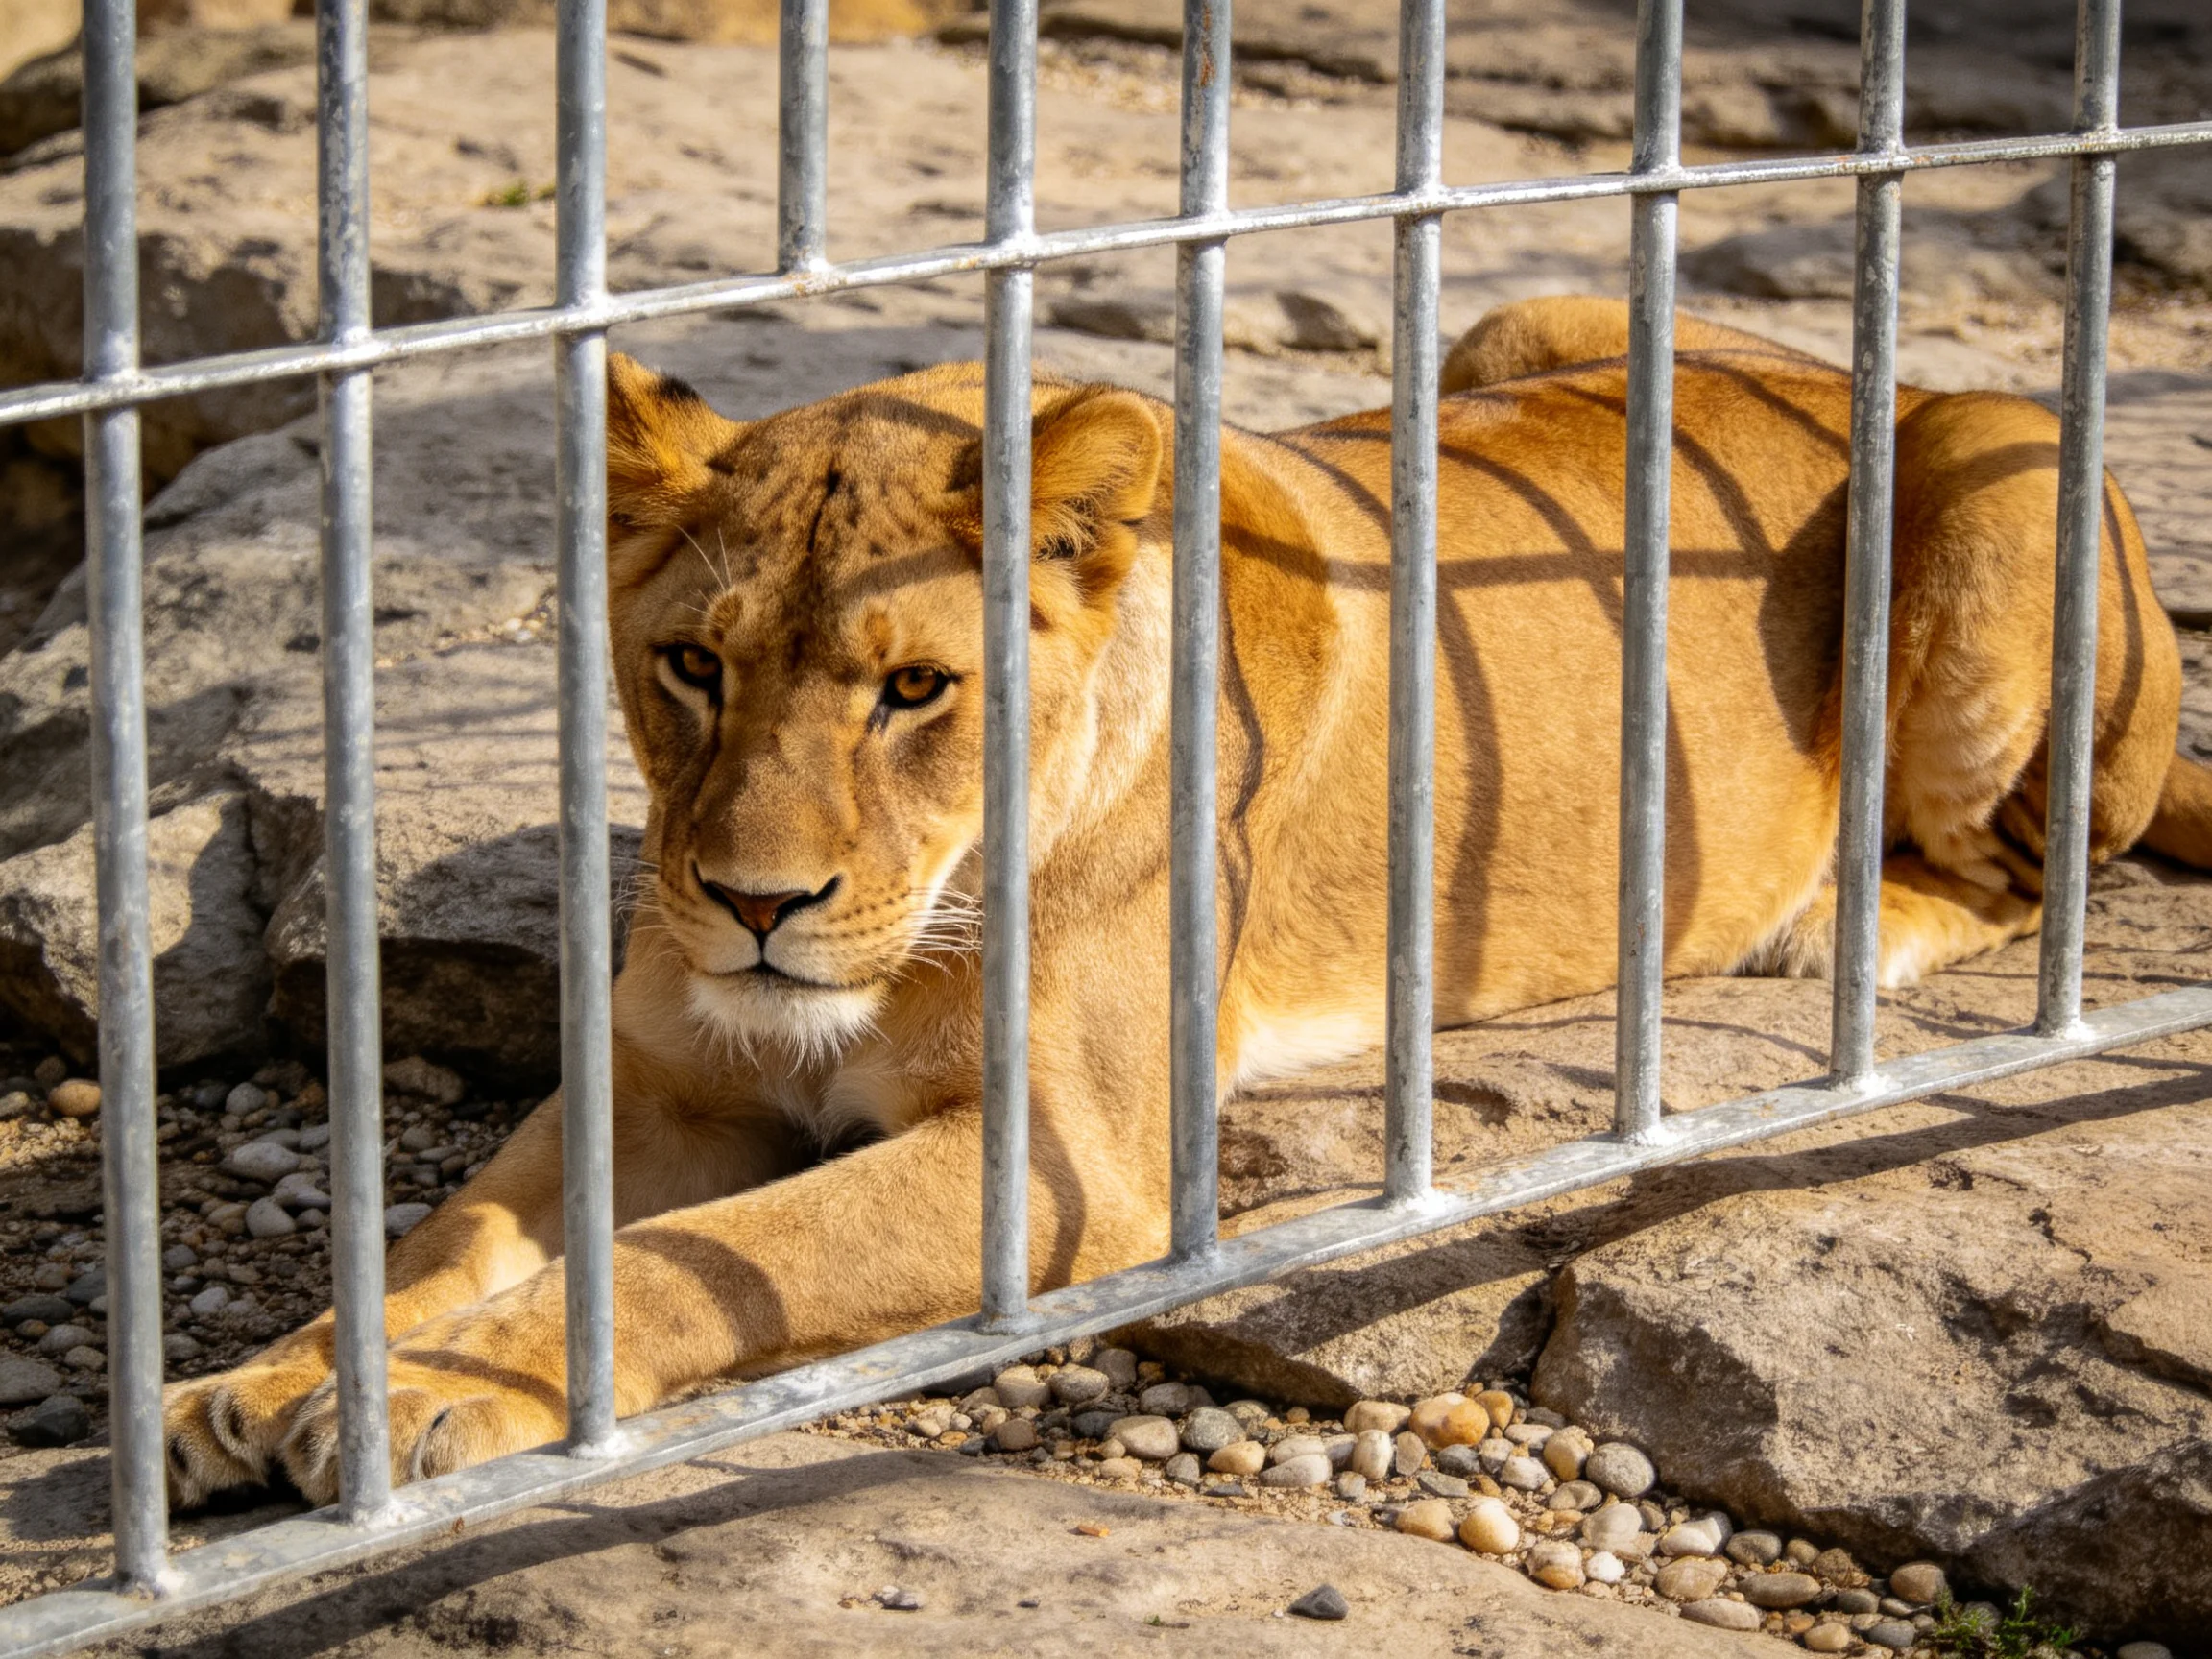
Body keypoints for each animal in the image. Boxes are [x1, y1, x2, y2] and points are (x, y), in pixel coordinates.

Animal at [162, 295, 2212, 1505]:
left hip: (1999, 470)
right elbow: (453, 1236)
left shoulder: (1072, 1160)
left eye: (914, 689)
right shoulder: (664, 1085)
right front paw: (255, 1381)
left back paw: (1841, 922)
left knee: (2036, 856)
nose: (750, 903)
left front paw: (413, 1405)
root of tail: (1876, 367)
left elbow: (683, 1265)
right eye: (690, 664)